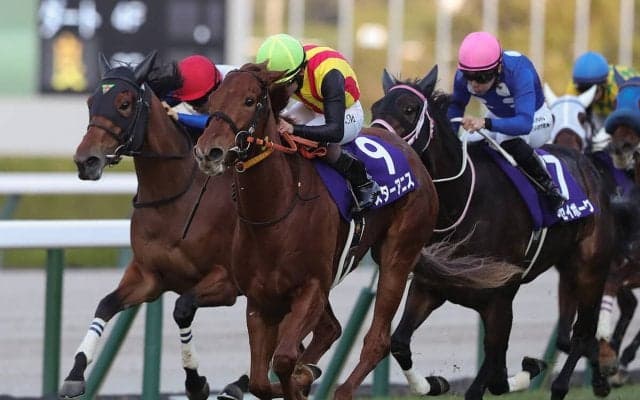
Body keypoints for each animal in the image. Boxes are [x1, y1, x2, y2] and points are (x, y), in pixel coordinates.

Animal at [63, 52, 341, 400]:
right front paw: (75, 373)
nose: (86, 160)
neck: (176, 194)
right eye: (90, 102)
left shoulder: (225, 283)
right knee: (321, 331)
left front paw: (196, 382)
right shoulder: (148, 276)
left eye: (124, 103)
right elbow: (107, 304)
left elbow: (182, 307)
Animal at [192, 62, 523, 400]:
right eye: (212, 102)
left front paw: (300, 379)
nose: (209, 152)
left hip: (397, 255)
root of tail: (412, 154)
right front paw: (299, 377)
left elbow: (284, 358)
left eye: (249, 101)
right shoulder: (260, 301)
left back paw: (343, 388)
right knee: (331, 329)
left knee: (378, 339)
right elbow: (261, 379)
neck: (275, 211)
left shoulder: (312, 288)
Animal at [370, 65, 616, 400]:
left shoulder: (500, 301)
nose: (374, 143)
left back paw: (563, 384)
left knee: (582, 333)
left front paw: (526, 371)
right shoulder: (429, 288)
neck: (461, 202)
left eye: (409, 109)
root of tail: (588, 163)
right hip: (567, 269)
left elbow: (490, 373)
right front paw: (434, 383)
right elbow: (399, 343)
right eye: (375, 108)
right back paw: (599, 378)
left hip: (590, 268)